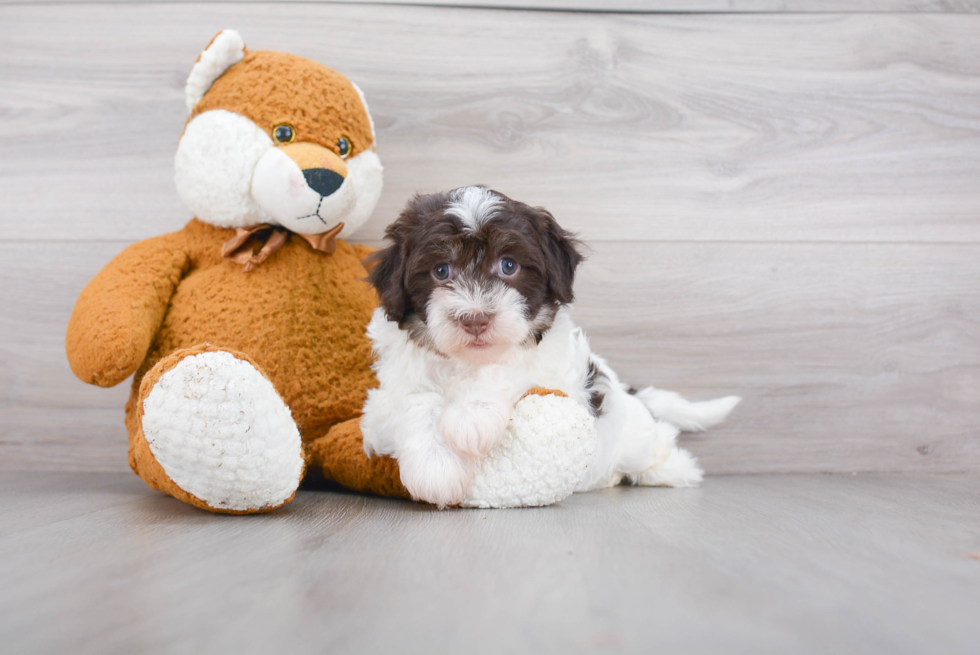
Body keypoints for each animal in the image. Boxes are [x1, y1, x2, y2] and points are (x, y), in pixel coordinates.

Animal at [358, 187, 736, 510]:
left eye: (508, 265)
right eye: (440, 270)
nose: (476, 319)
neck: (467, 363)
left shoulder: (556, 373)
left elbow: (507, 369)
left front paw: (472, 412)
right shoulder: (381, 407)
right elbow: (416, 399)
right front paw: (436, 465)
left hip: (636, 438)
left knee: (657, 443)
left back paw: (675, 469)